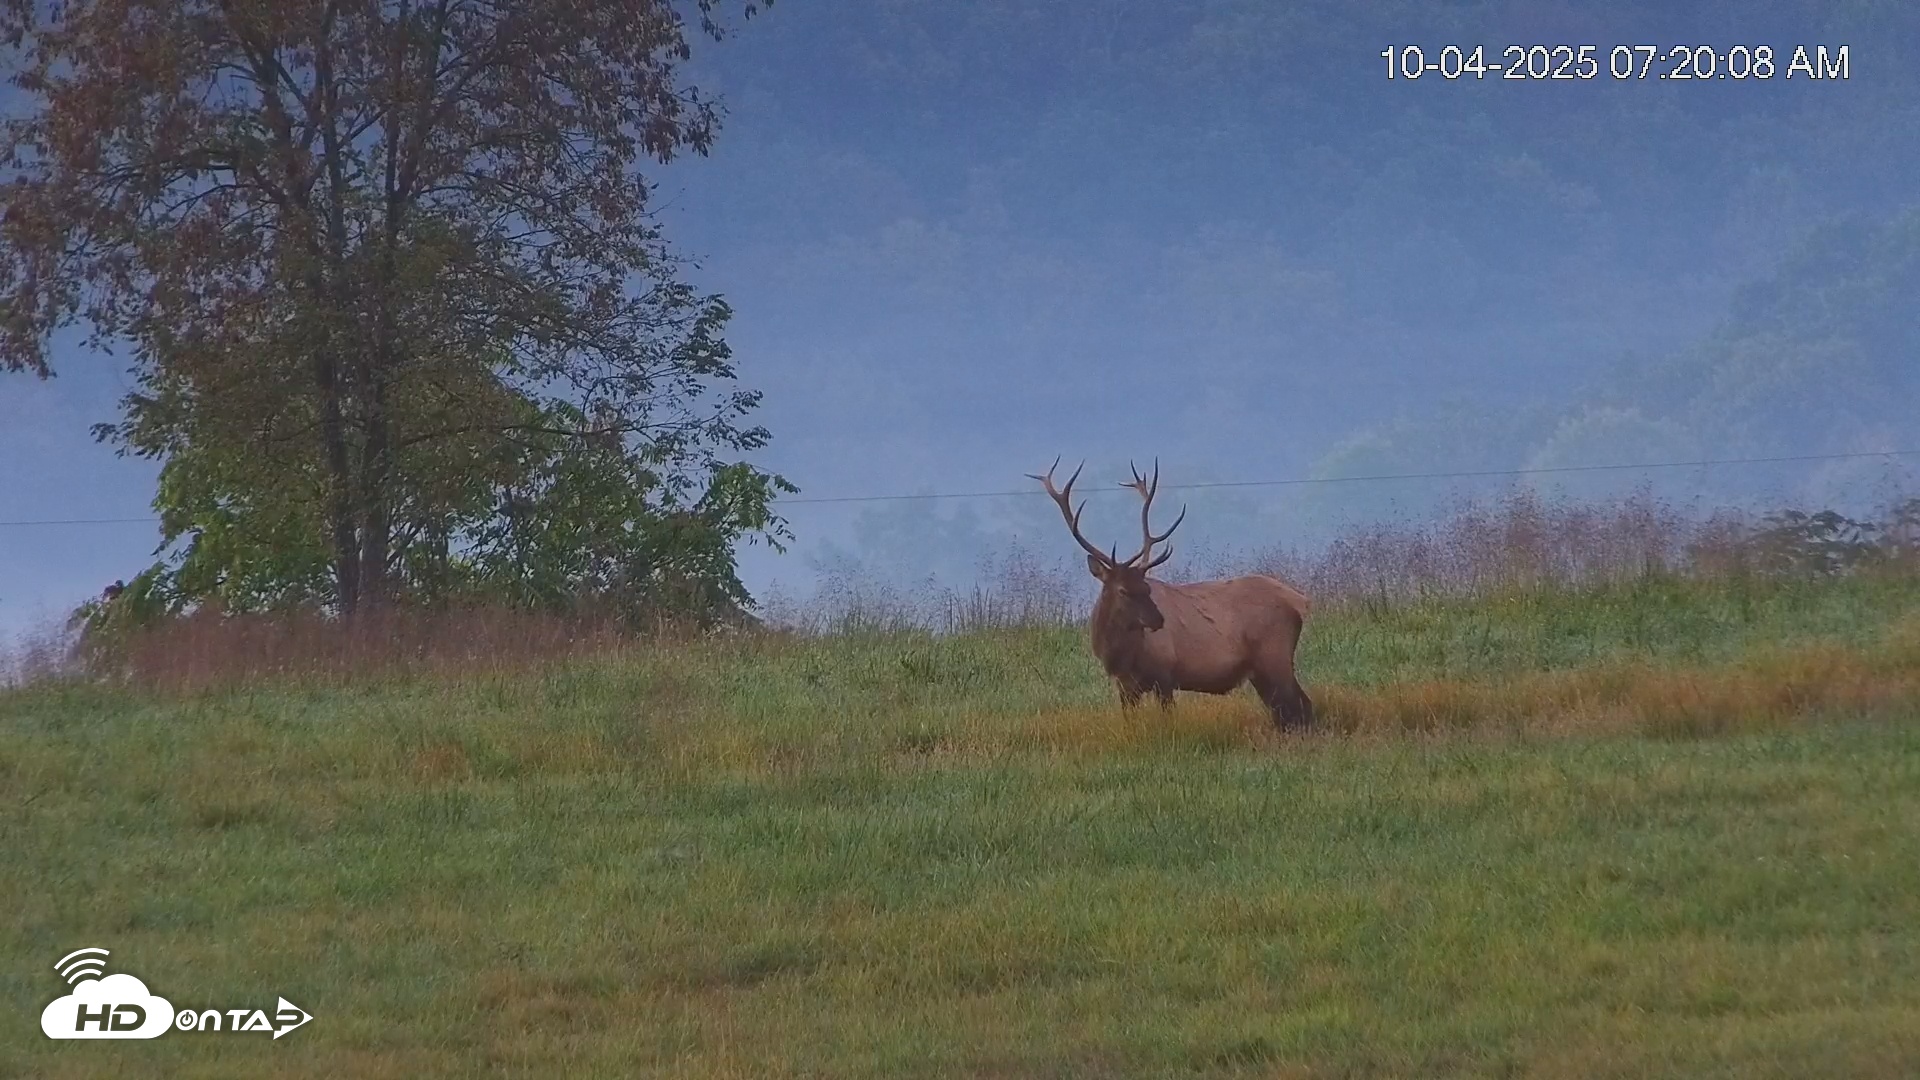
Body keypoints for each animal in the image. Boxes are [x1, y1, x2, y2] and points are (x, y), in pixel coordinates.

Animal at [1029, 458, 1315, 732]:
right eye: (1123, 590)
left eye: (1146, 587)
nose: (1158, 620)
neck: (1118, 655)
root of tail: (1299, 601)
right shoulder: (1125, 687)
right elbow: (1130, 721)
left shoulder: (1165, 675)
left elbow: (1168, 718)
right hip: (1260, 670)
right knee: (1284, 709)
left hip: (1274, 655)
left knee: (1300, 704)